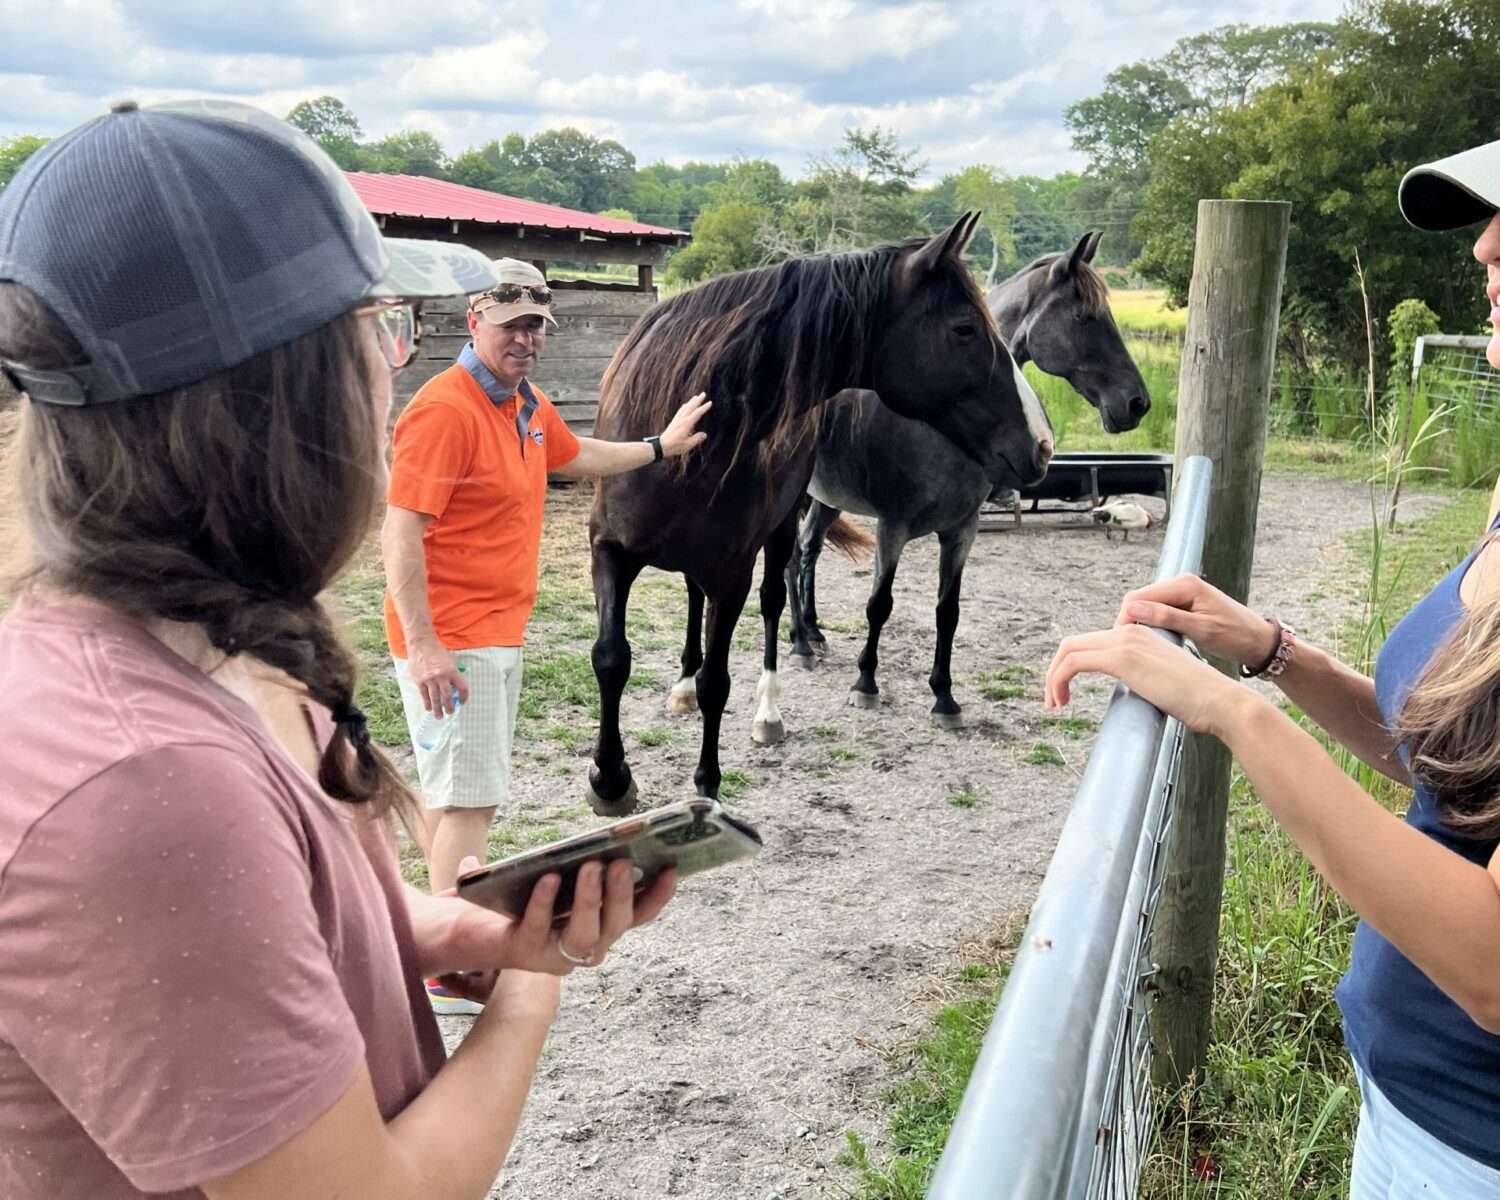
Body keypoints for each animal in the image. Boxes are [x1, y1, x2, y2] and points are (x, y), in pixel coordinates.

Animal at [586, 213, 1053, 812]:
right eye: (964, 329)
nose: (1041, 444)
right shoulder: (610, 551)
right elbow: (611, 657)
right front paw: (610, 778)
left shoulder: (732, 574)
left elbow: (720, 680)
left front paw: (708, 787)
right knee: (695, 601)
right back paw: (683, 685)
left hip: (779, 531)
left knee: (772, 602)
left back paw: (768, 712)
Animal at [785, 230, 1150, 728]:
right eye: (1086, 317)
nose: (1137, 403)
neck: (941, 433)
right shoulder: (892, 527)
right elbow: (880, 604)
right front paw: (866, 682)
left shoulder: (961, 531)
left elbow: (948, 611)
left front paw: (944, 696)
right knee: (789, 561)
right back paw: (799, 642)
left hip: (827, 499)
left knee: (808, 551)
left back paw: (813, 630)